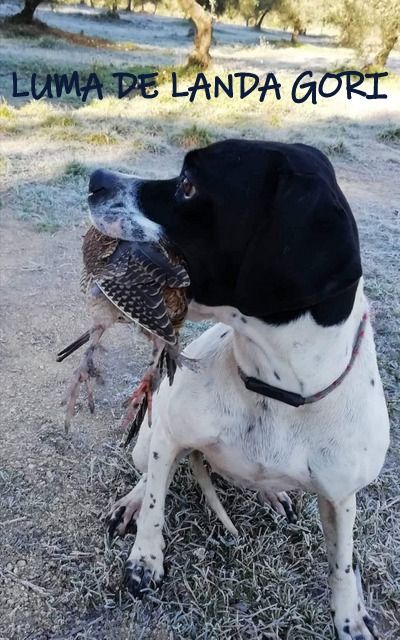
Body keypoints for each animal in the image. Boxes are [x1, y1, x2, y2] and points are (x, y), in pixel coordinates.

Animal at [88, 141, 390, 640]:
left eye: (188, 185)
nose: (95, 179)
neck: (277, 389)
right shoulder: (169, 435)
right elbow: (154, 503)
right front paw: (145, 560)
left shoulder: (340, 496)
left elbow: (343, 563)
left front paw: (350, 618)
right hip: (149, 438)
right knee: (148, 477)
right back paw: (131, 503)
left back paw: (272, 494)